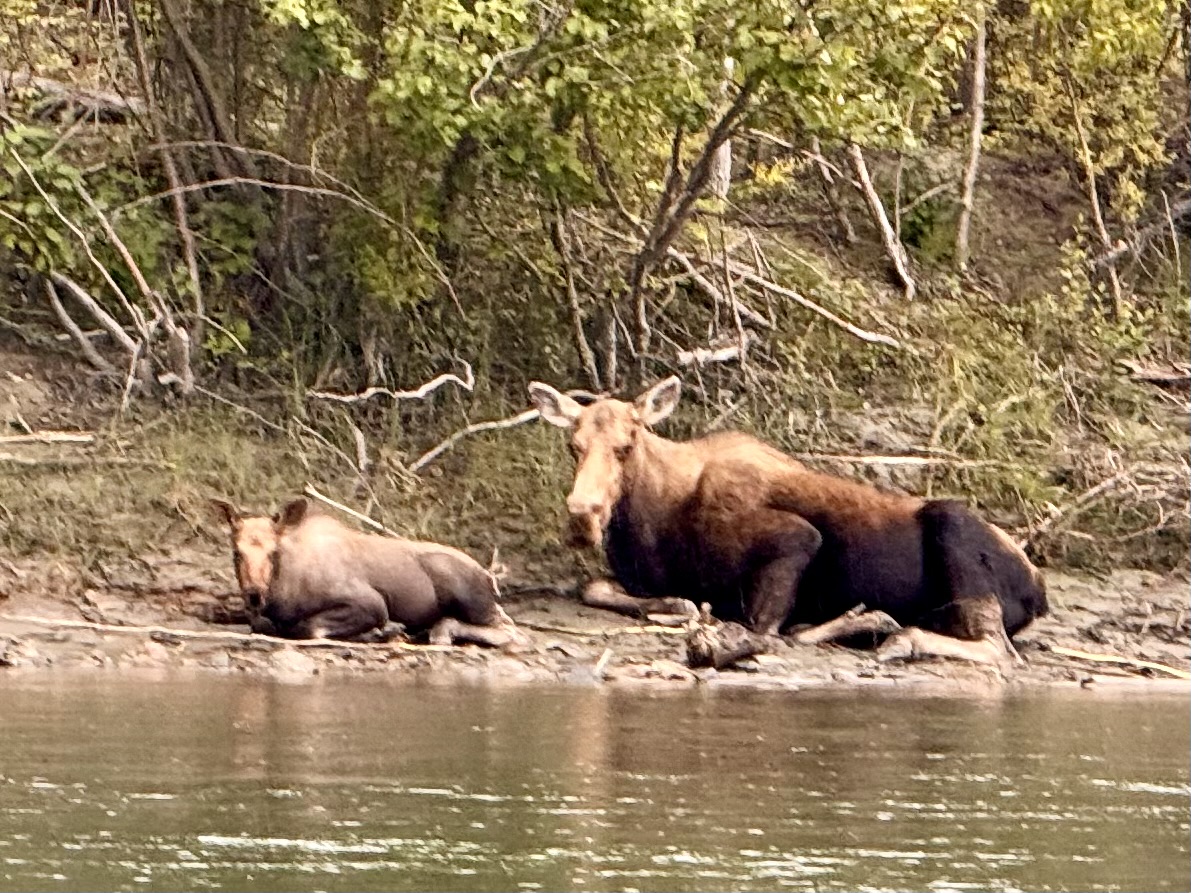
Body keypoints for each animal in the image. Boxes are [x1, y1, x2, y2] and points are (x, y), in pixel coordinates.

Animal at [211, 497, 521, 647]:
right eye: (236, 552)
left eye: (273, 552)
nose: (254, 594)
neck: (281, 591)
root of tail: (489, 577)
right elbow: (264, 625)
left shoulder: (371, 603)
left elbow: (310, 627)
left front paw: (377, 633)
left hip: (467, 595)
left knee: (514, 632)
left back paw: (439, 632)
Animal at [527, 376, 1048, 665]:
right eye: (573, 446)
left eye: (626, 445)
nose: (582, 514)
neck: (651, 525)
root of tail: (1039, 592)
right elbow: (595, 586)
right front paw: (675, 602)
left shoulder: (796, 539)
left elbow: (761, 630)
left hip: (952, 523)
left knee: (999, 648)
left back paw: (894, 635)